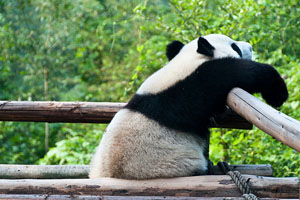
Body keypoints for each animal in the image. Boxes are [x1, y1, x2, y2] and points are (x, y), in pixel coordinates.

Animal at [89, 33, 288, 179]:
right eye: (235, 46)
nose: (250, 46)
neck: (188, 62)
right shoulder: (194, 85)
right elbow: (237, 72)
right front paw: (277, 93)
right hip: (169, 164)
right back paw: (217, 169)